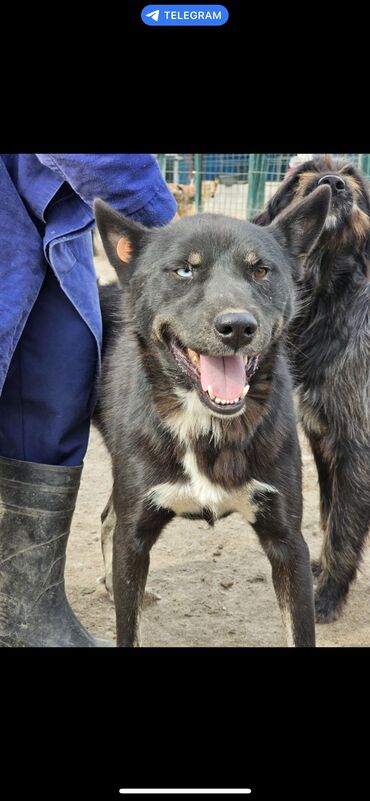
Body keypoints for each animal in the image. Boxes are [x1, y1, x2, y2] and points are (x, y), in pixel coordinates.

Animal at [92, 189, 330, 648]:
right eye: (185, 270)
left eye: (261, 270)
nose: (237, 327)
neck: (208, 425)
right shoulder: (135, 537)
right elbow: (128, 627)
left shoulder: (288, 543)